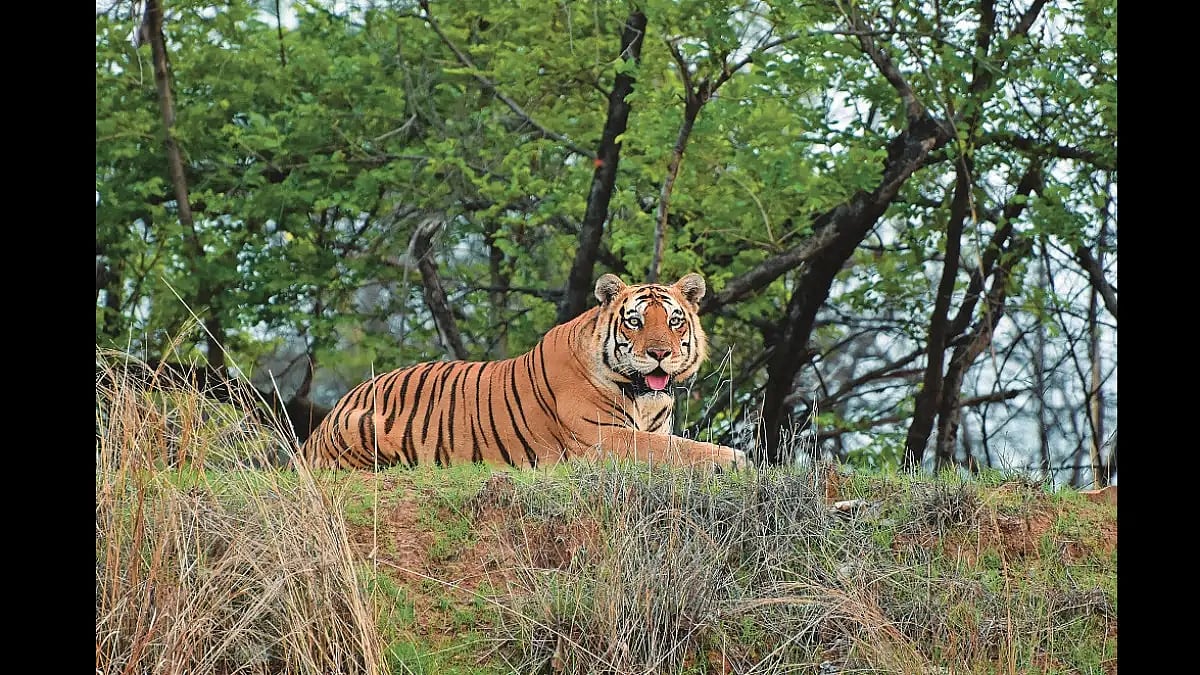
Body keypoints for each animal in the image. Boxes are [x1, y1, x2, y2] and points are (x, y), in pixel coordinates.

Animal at [297, 273, 746, 470]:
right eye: (635, 322)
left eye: (674, 321)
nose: (659, 353)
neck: (642, 397)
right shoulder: (601, 439)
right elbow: (677, 450)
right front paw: (736, 459)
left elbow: (673, 444)